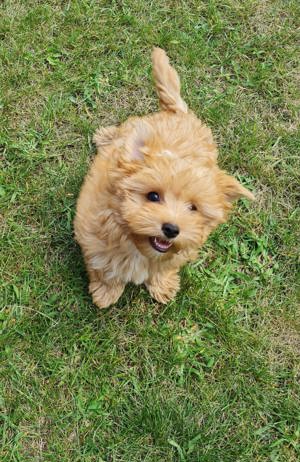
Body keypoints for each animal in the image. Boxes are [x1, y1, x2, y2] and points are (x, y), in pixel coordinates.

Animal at [74, 48, 254, 308]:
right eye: (153, 196)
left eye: (193, 208)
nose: (171, 229)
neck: (136, 243)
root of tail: (178, 113)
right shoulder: (94, 238)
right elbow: (105, 268)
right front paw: (106, 292)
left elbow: (164, 267)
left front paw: (162, 285)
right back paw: (105, 136)